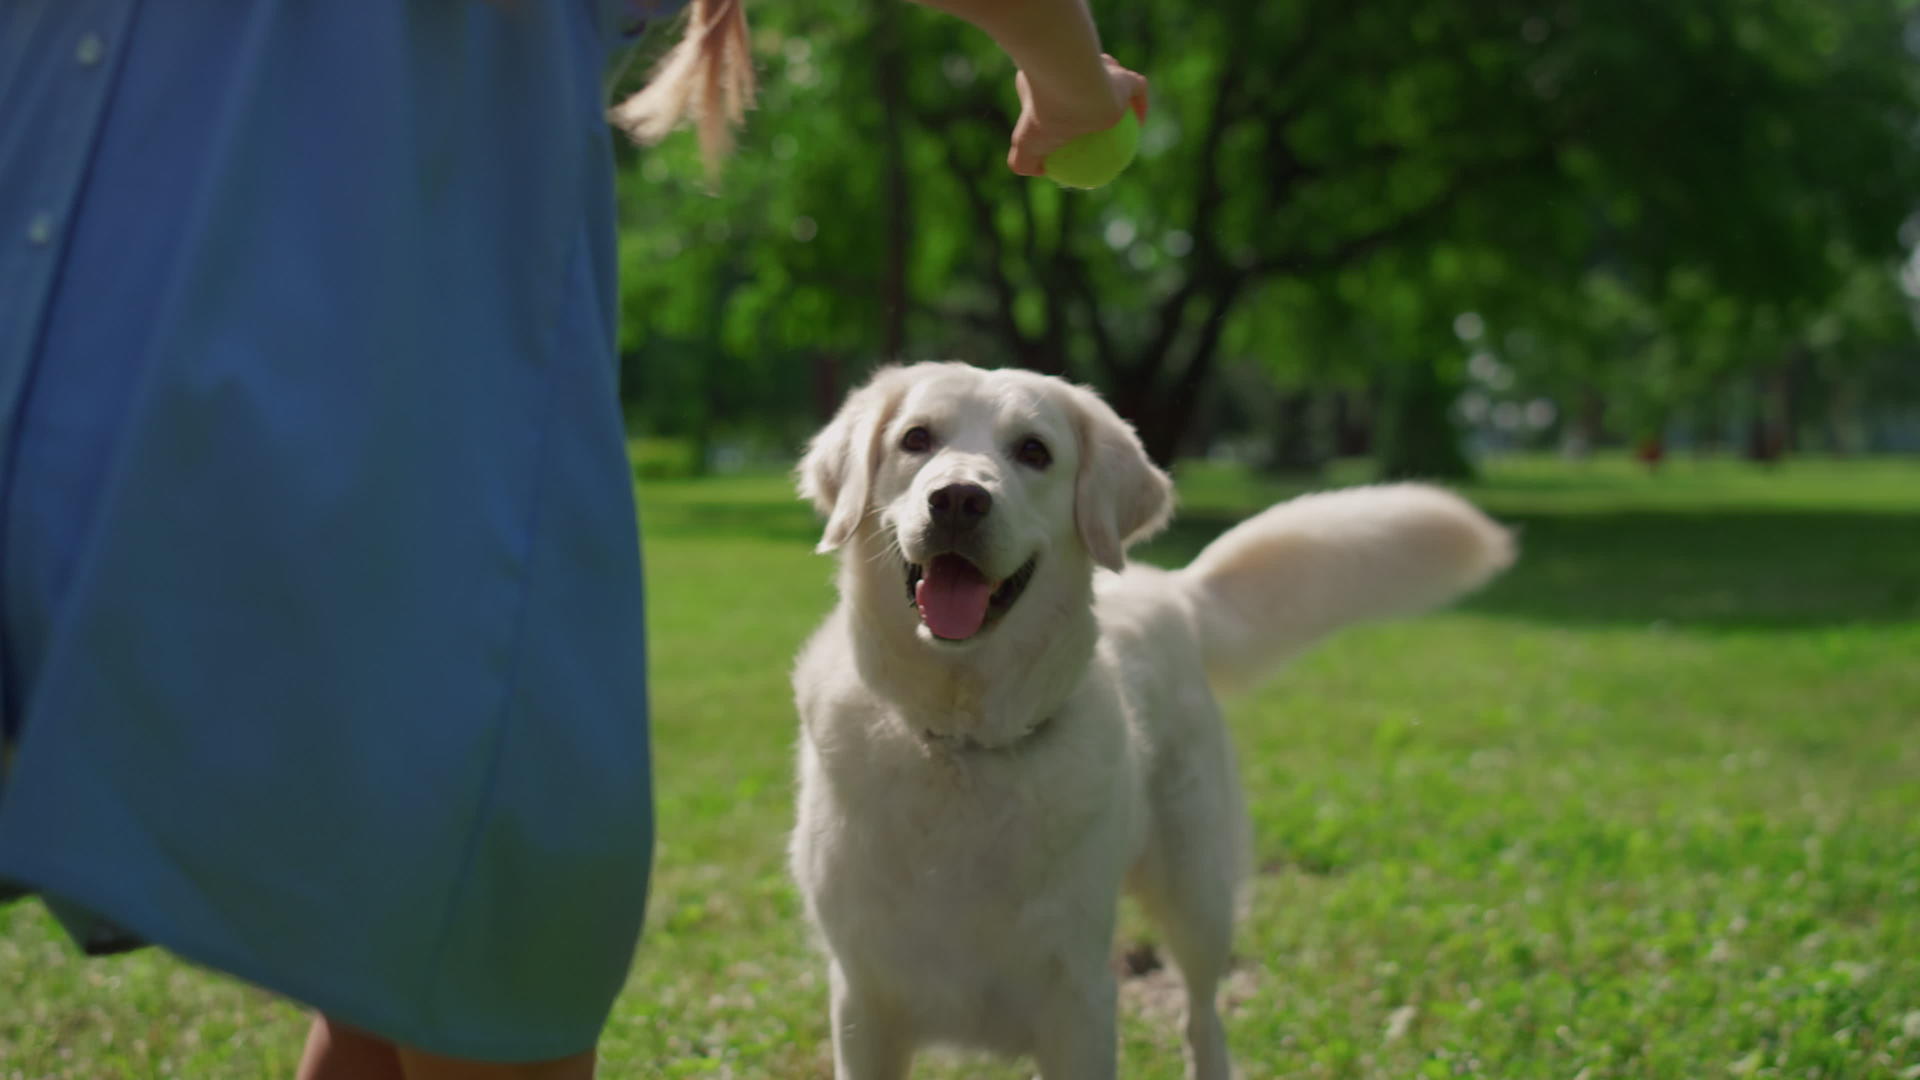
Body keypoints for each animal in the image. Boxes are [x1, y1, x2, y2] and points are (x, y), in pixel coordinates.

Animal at [787, 363, 1505, 1076]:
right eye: (916, 439)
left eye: (1033, 452)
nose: (960, 499)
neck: (962, 739)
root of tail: (1176, 588)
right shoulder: (862, 1001)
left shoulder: (1080, 1000)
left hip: (1197, 894)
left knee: (1203, 1015)